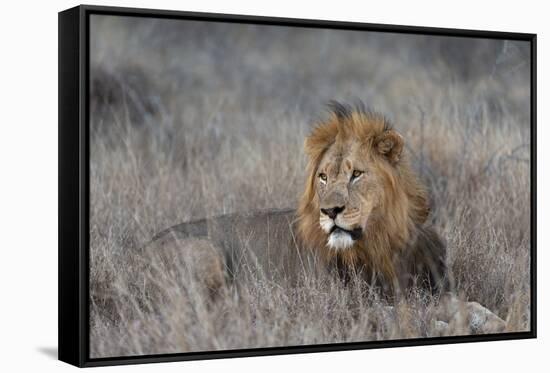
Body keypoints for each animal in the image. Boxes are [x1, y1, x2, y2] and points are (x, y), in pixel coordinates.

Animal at [144, 101, 506, 332]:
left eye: (356, 174)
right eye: (323, 177)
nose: (330, 211)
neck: (380, 243)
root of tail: (138, 251)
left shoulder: (422, 286)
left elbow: (464, 303)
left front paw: (495, 320)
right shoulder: (349, 304)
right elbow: (401, 314)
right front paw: (442, 325)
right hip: (205, 252)